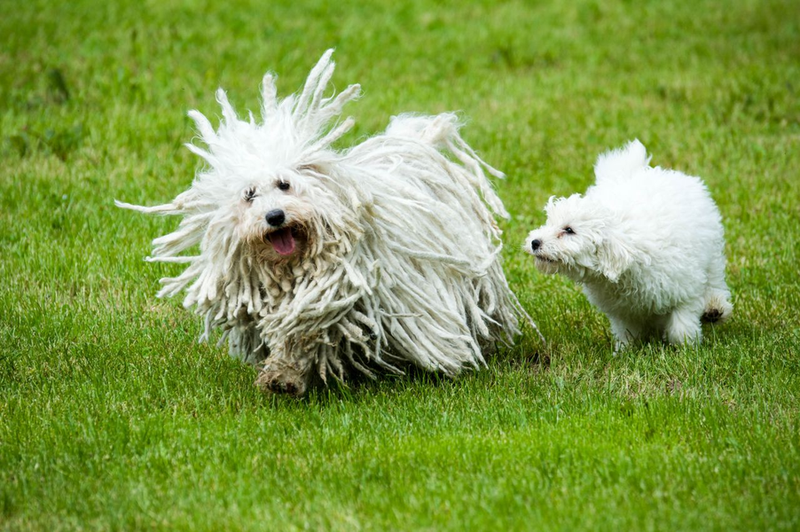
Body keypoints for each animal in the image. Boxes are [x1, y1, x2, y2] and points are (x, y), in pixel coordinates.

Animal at [117, 51, 536, 394]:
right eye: (249, 195)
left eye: (284, 184)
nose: (275, 216)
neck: (292, 268)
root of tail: (413, 144)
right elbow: (293, 339)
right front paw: (283, 376)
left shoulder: (332, 292)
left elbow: (306, 330)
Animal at [524, 140, 732, 350]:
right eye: (549, 222)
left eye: (569, 230)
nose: (535, 242)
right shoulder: (623, 309)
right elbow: (626, 331)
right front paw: (625, 350)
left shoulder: (684, 289)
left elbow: (681, 325)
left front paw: (685, 346)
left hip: (712, 252)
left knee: (714, 280)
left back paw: (715, 308)